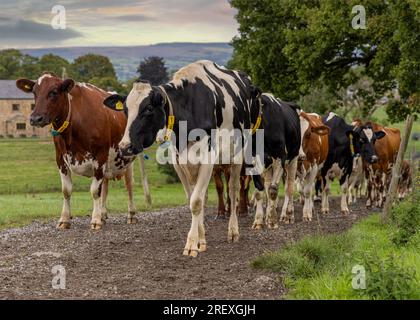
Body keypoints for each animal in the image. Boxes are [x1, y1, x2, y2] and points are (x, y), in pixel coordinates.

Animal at [16, 73, 138, 230]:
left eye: (54, 92)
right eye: (34, 92)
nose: (35, 118)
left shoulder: (100, 156)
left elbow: (94, 191)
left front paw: (95, 220)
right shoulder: (60, 158)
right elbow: (67, 190)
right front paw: (64, 219)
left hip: (128, 157)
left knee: (129, 184)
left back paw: (131, 215)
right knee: (105, 185)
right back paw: (103, 214)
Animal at [102, 60, 260, 258]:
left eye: (148, 109)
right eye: (125, 110)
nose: (125, 146)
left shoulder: (208, 158)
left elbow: (196, 202)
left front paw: (191, 244)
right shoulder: (179, 162)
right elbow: (193, 199)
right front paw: (200, 241)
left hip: (237, 155)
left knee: (233, 190)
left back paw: (233, 231)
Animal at [251, 94, 300, 229]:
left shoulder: (280, 157)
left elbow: (273, 191)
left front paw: (273, 221)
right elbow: (259, 191)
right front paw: (259, 220)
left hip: (293, 158)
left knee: (289, 187)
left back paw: (289, 216)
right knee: (268, 184)